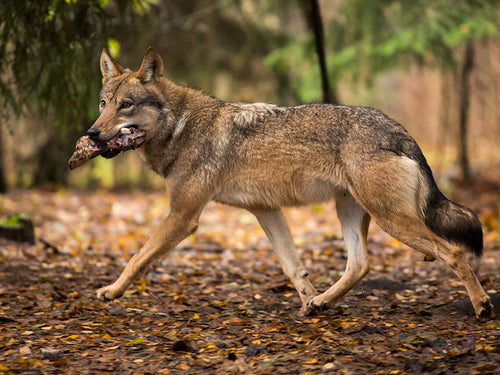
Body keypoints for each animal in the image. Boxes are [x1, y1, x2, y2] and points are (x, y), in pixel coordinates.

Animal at [85, 46, 492, 318]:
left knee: (453, 252)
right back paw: (323, 302)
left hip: (393, 221)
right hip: (351, 212)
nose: (91, 133)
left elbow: (138, 257)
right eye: (104, 103)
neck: (180, 127)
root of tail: (399, 130)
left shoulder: (183, 216)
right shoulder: (265, 210)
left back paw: (482, 306)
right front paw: (308, 300)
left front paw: (111, 291)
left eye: (126, 105)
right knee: (360, 265)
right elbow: (292, 266)